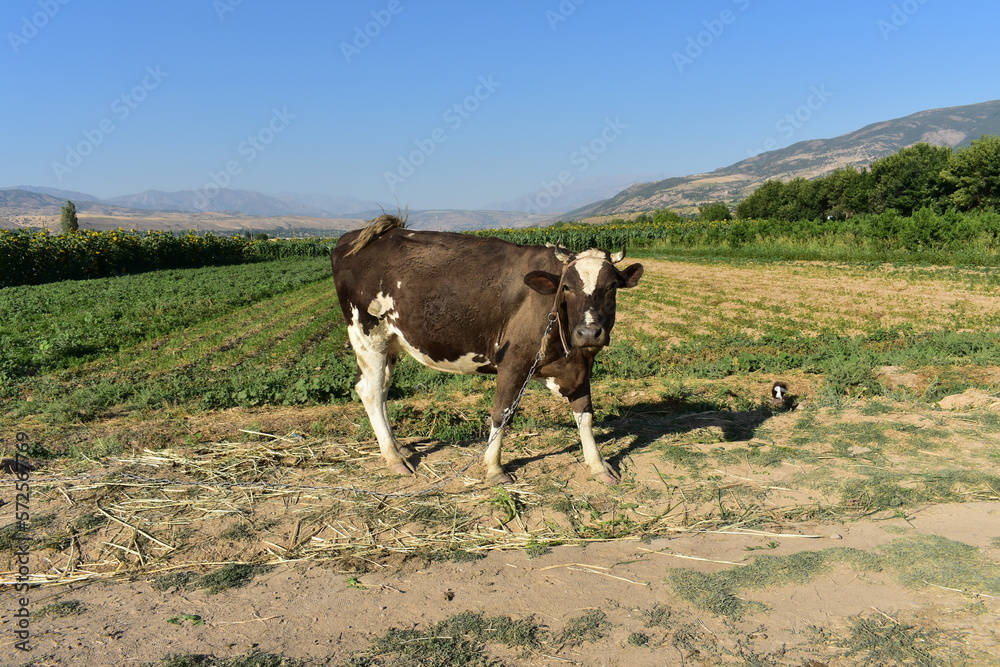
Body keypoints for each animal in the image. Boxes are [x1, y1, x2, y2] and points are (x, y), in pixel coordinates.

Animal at [330, 214, 643, 484]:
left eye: (612, 286)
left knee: (382, 389)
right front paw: (494, 468)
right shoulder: (513, 362)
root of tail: (355, 237)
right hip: (368, 334)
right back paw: (393, 457)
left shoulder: (579, 365)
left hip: (391, 342)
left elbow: (585, 415)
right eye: (566, 287)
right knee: (370, 391)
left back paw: (398, 447)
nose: (589, 332)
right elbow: (501, 413)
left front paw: (598, 465)